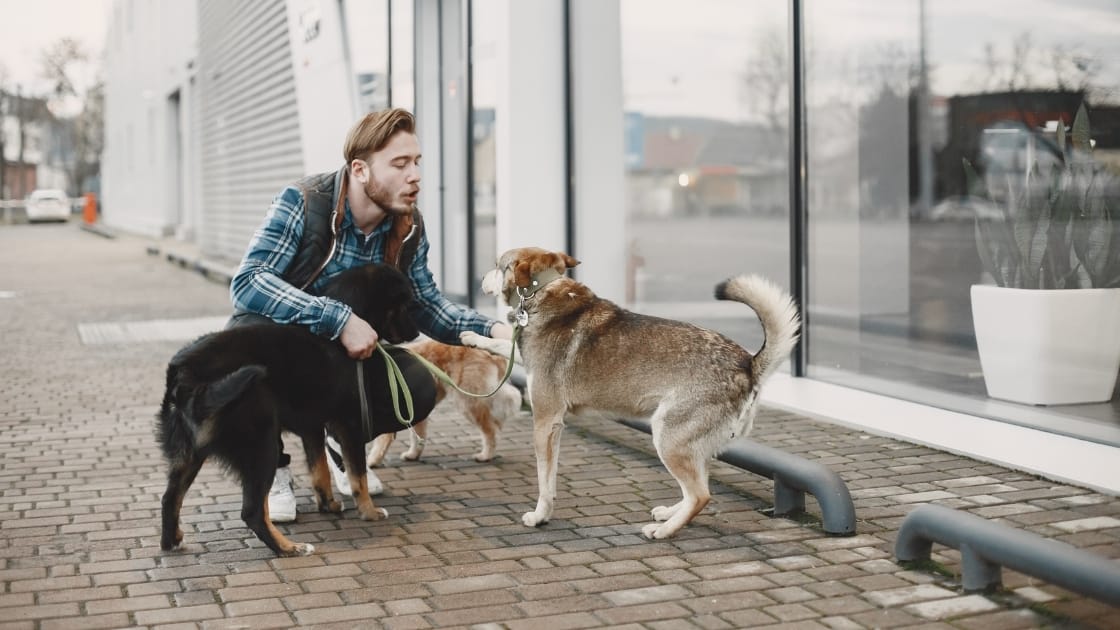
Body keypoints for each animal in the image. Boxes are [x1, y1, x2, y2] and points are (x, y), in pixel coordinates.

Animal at [155, 261, 434, 553]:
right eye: (403, 304)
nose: (416, 333)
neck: (336, 339)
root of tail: (184, 373)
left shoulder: (312, 427)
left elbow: (319, 472)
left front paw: (328, 505)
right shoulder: (349, 425)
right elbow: (358, 477)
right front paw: (369, 512)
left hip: (188, 455)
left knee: (169, 499)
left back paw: (171, 540)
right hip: (261, 444)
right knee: (252, 511)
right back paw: (289, 548)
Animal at [367, 338, 524, 466]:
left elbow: (381, 442)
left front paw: (372, 461)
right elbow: (418, 437)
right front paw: (413, 455)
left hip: (467, 401)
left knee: (490, 430)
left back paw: (485, 456)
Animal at [459, 247, 801, 538]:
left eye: (497, 265)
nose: (481, 278)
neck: (543, 290)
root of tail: (748, 363)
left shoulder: (546, 422)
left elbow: (546, 481)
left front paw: (540, 516)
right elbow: (503, 341)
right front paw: (473, 337)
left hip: (667, 437)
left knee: (700, 495)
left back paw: (664, 531)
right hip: (688, 444)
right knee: (698, 487)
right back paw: (669, 514)